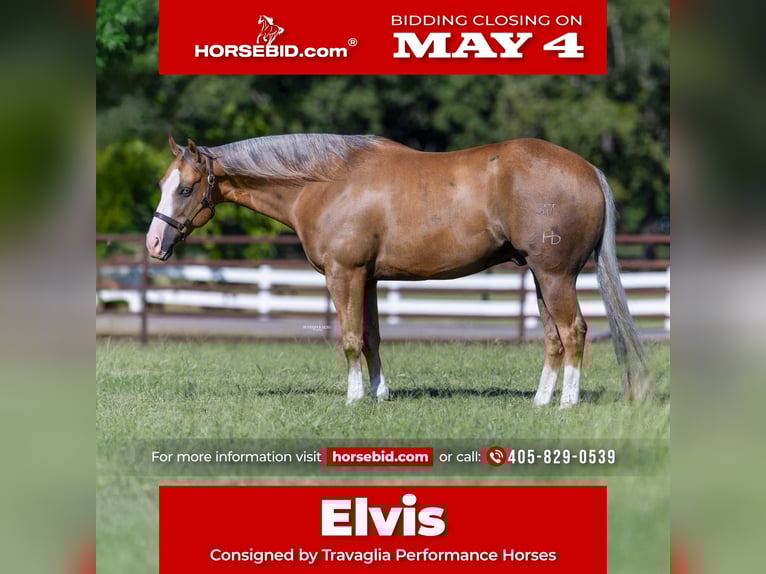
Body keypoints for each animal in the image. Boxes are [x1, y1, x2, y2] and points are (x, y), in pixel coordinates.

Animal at [146, 133, 649, 408]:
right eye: (163, 183)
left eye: (186, 189)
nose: (154, 243)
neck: (324, 182)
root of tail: (588, 169)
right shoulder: (366, 277)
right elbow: (371, 337)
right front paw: (379, 394)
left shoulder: (344, 274)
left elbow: (349, 338)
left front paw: (353, 398)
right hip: (541, 278)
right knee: (554, 338)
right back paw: (541, 400)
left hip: (556, 276)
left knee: (575, 332)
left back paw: (566, 404)